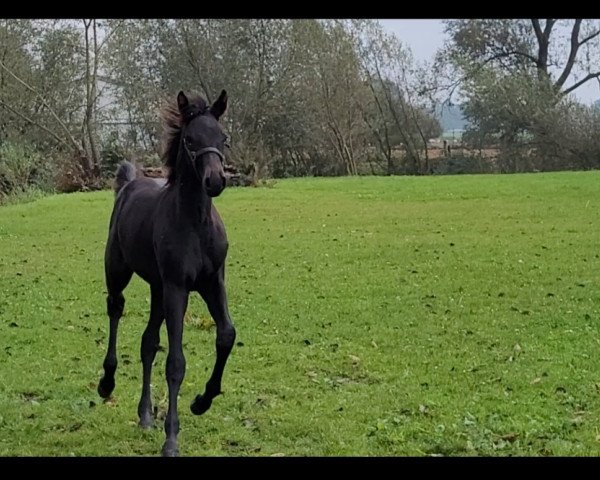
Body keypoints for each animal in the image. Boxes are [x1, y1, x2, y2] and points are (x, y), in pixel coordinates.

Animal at [97, 88, 236, 456]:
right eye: (189, 139)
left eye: (223, 137)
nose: (215, 181)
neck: (195, 222)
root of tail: (129, 184)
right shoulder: (177, 288)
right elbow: (175, 362)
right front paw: (172, 437)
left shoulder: (213, 282)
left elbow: (226, 335)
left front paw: (202, 401)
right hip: (119, 272)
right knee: (115, 309)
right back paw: (106, 383)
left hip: (157, 289)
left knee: (148, 342)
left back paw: (146, 414)